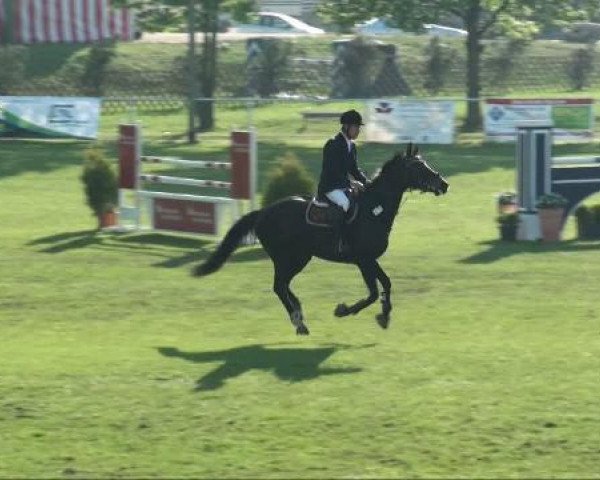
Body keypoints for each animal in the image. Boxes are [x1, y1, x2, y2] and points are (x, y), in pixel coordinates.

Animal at [195, 144, 448, 336]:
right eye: (418, 167)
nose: (444, 184)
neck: (374, 209)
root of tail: (263, 212)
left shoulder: (370, 260)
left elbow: (386, 284)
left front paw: (384, 315)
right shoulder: (363, 260)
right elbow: (374, 292)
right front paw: (344, 310)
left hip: (299, 258)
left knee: (284, 286)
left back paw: (298, 313)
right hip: (288, 258)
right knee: (279, 286)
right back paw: (298, 321)